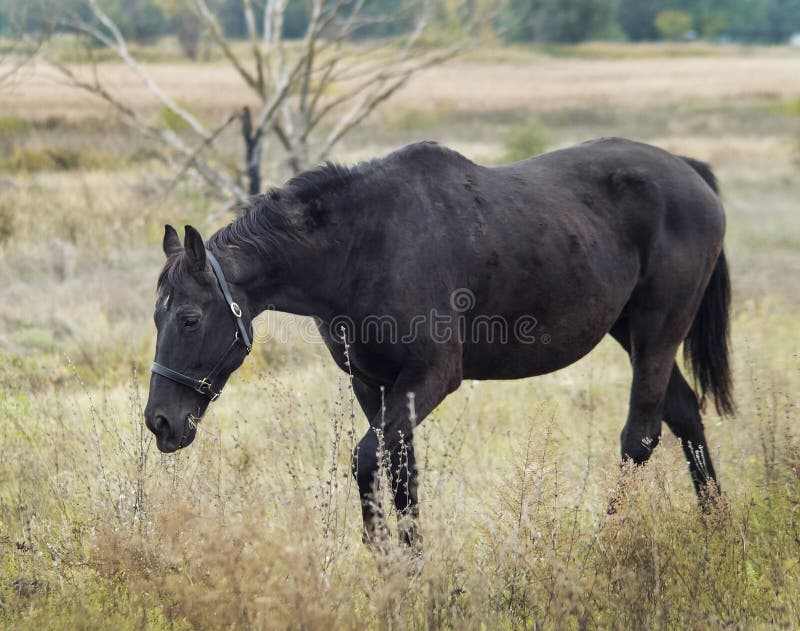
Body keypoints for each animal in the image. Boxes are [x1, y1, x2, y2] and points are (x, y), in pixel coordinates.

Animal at [144, 138, 732, 548]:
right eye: (157, 317)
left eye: (190, 319)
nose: (160, 422)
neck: (363, 245)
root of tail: (689, 172)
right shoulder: (374, 384)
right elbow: (402, 470)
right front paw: (411, 569)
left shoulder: (430, 379)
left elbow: (367, 459)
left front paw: (383, 554)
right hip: (632, 332)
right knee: (685, 415)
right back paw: (716, 530)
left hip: (657, 330)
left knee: (641, 437)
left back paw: (605, 542)